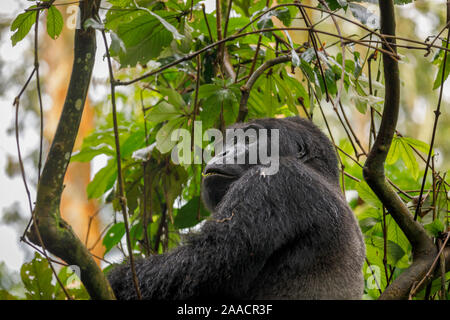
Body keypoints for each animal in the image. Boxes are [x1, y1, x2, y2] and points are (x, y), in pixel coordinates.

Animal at [108, 117, 366, 300]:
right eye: (227, 143)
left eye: (249, 139)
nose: (222, 153)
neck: (321, 173)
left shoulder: (275, 180)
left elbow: (206, 265)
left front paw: (115, 281)